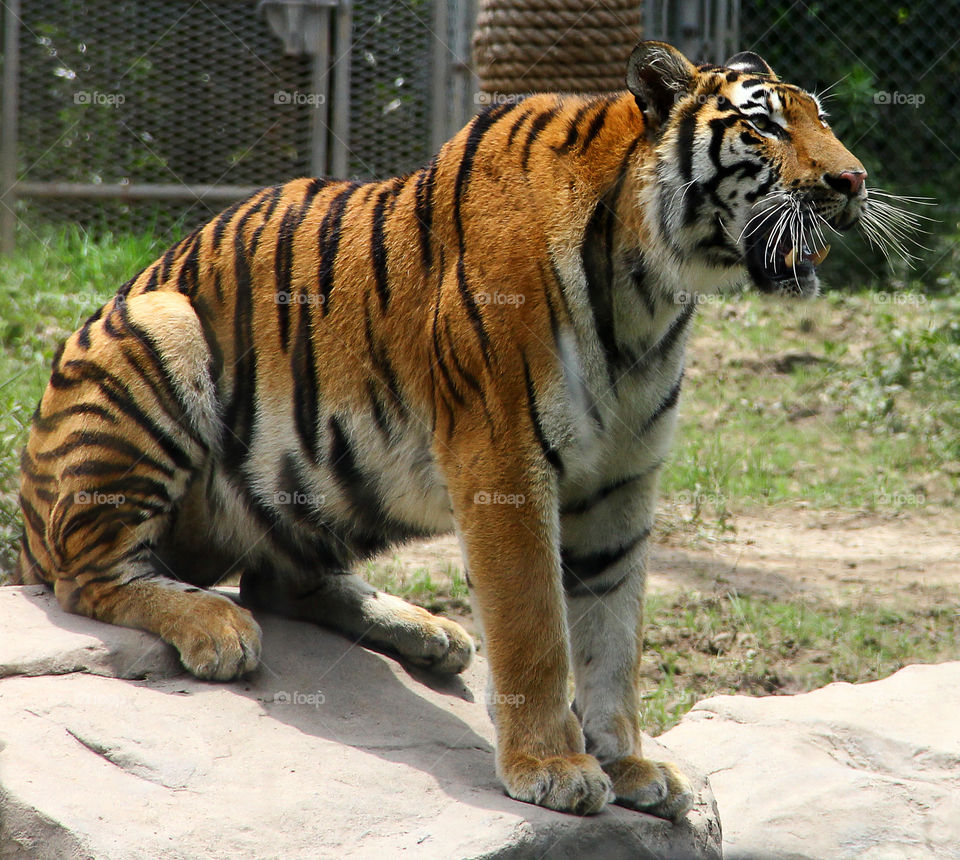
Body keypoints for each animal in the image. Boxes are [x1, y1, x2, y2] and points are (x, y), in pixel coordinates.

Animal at [15, 42, 872, 820]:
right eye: (763, 127)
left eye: (823, 122)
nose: (854, 182)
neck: (649, 294)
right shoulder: (503, 460)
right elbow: (536, 624)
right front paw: (553, 768)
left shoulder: (622, 486)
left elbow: (613, 637)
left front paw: (630, 766)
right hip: (159, 332)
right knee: (90, 573)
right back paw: (216, 626)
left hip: (332, 481)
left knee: (278, 579)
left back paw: (429, 633)